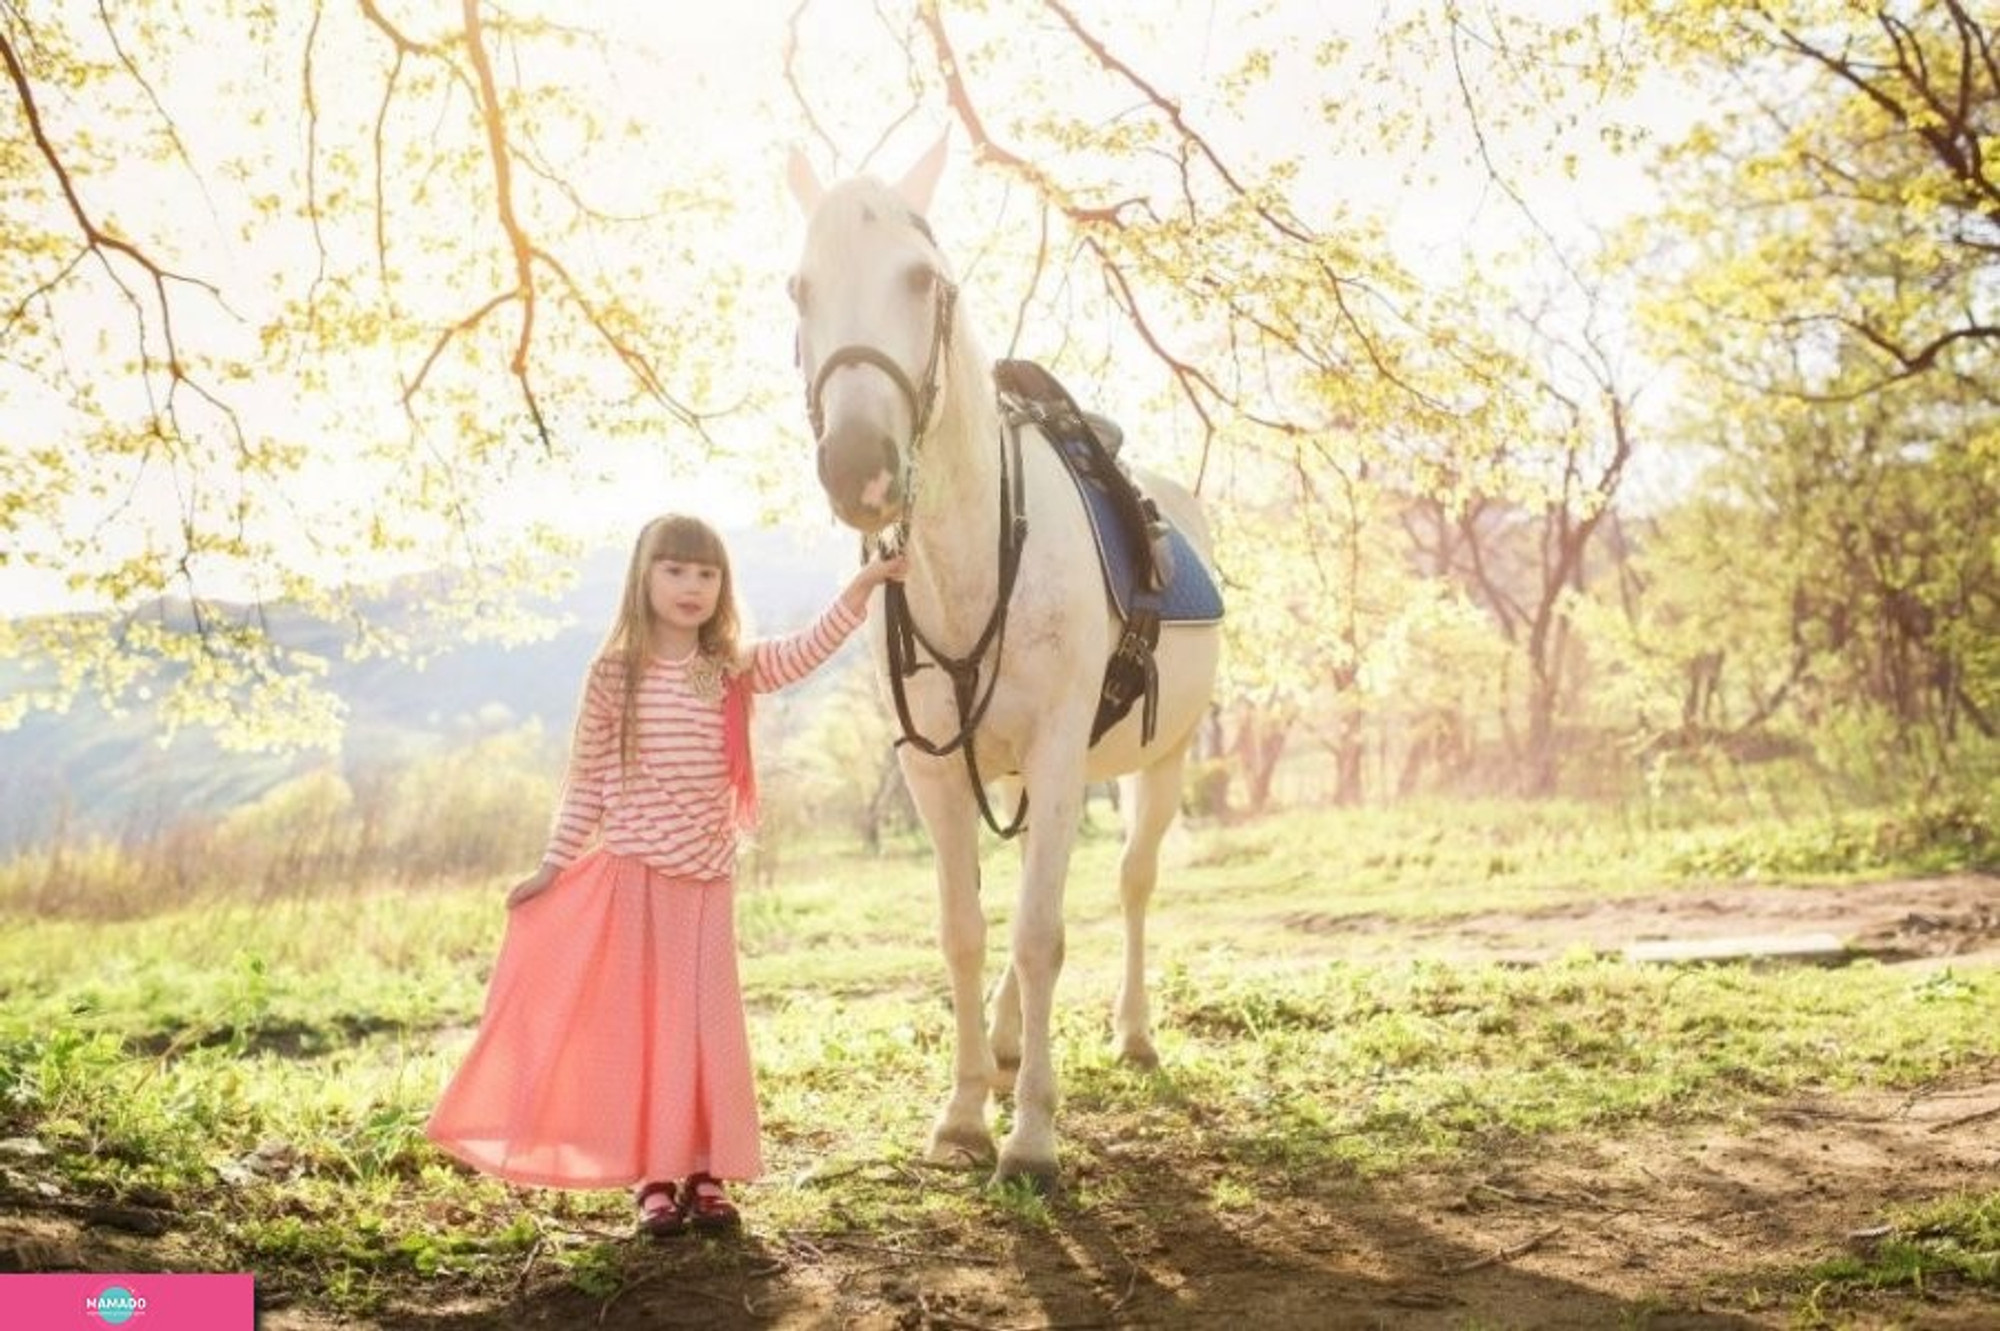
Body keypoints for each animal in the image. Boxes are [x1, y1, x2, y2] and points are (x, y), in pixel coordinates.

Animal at [780, 139, 1216, 1183]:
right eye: (799, 288)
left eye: (923, 280)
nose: (857, 464)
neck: (975, 552)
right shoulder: (934, 768)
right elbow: (970, 932)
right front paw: (965, 1112)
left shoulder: (1060, 753)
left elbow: (1040, 932)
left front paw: (1031, 1135)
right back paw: (1015, 1038)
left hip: (1163, 757)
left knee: (1131, 881)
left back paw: (1133, 1033)